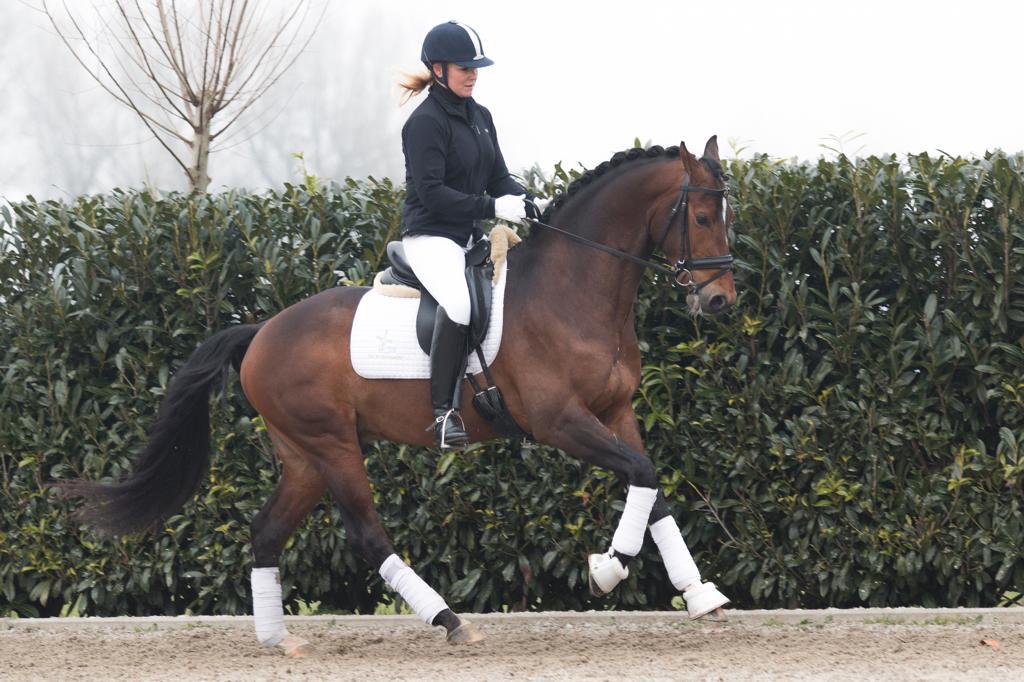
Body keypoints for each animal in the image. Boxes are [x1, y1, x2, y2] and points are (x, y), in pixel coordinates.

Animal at [61, 137, 737, 655]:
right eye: (702, 218)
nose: (720, 300)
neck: (574, 287)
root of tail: (261, 332)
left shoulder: (614, 412)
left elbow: (652, 486)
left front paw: (701, 595)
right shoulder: (561, 422)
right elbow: (641, 476)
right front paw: (606, 569)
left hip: (305, 457)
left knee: (267, 531)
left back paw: (279, 639)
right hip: (332, 446)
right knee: (367, 534)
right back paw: (449, 620)